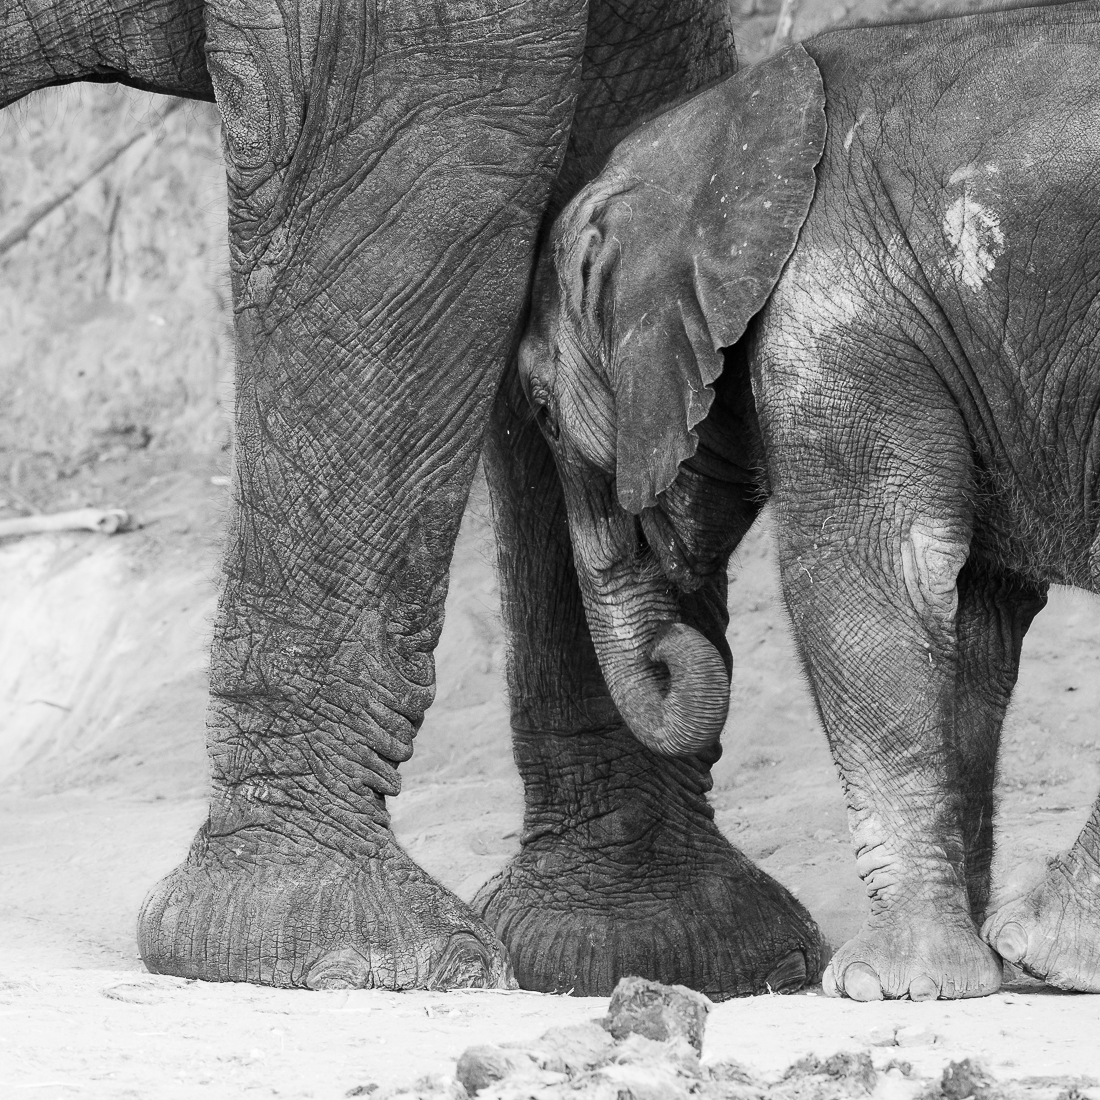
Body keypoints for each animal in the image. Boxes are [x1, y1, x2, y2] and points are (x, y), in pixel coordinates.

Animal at [519, 0, 1100, 1000]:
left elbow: (874, 577)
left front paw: (888, 984)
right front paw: (963, 973)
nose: (672, 653)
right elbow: (972, 615)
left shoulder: (838, 311)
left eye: (545, 413)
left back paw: (1047, 948)